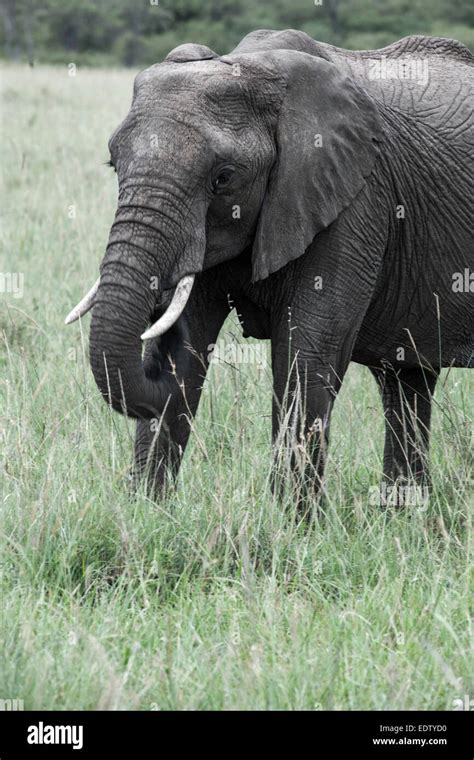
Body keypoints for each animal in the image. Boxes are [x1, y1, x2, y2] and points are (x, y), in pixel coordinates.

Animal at [65, 29, 472, 508]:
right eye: (114, 165)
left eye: (223, 178)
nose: (158, 313)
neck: (252, 68)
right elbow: (192, 350)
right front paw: (148, 512)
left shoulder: (355, 199)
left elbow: (307, 356)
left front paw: (291, 522)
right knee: (406, 380)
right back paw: (403, 516)